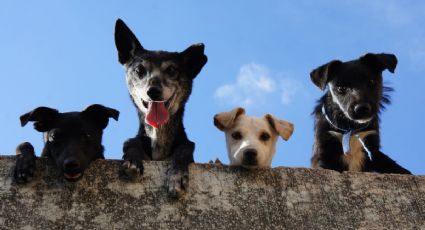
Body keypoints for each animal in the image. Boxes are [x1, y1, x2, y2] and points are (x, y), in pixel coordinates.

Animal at [113, 18, 208, 197]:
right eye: (139, 69)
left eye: (171, 70)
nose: (153, 91)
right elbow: (131, 142)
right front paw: (132, 160)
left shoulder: (186, 147)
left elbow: (185, 148)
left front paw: (177, 176)